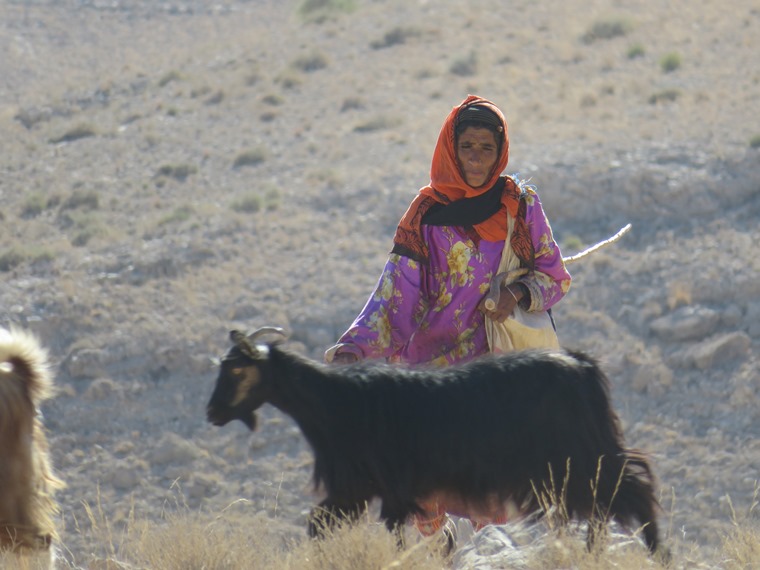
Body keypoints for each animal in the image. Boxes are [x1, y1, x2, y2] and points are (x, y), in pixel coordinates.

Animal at [205, 326, 664, 552]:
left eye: (237, 370)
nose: (212, 413)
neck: (335, 401)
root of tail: (582, 366)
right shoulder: (380, 492)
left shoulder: (362, 486)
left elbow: (327, 527)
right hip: (573, 465)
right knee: (606, 505)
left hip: (582, 456)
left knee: (634, 491)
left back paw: (659, 554)